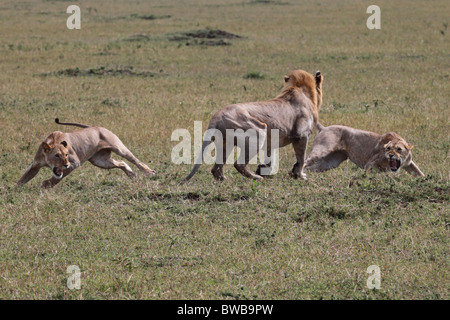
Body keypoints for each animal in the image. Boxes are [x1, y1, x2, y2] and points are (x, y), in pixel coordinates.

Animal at [185, 69, 324, 181]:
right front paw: (300, 175)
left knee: (216, 168)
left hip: (225, 144)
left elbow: (270, 158)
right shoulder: (301, 135)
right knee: (239, 164)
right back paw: (256, 178)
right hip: (258, 131)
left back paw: (224, 179)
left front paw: (264, 169)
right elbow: (301, 158)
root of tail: (216, 117)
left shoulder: (271, 142)